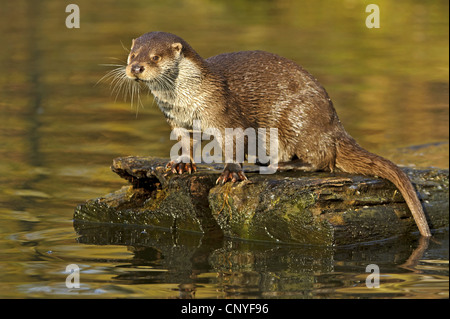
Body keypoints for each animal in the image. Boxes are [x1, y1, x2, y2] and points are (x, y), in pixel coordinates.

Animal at [112, 31, 428, 238]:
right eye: (132, 54)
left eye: (155, 57)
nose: (136, 67)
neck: (186, 98)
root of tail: (334, 123)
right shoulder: (177, 120)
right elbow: (184, 142)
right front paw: (181, 165)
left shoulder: (223, 112)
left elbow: (232, 143)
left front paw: (231, 172)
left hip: (296, 119)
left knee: (322, 158)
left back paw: (282, 165)